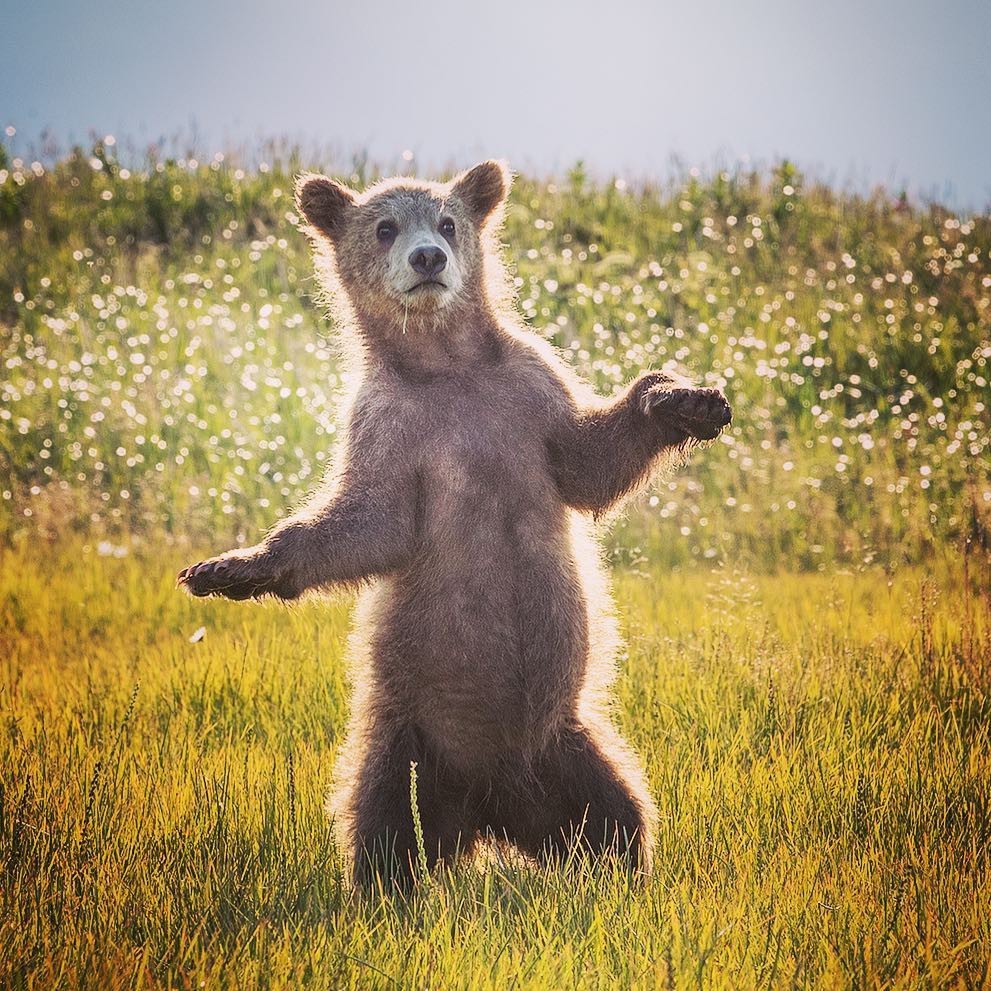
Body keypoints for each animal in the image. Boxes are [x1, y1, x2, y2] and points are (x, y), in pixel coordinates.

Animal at [178, 163, 728, 892]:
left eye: (446, 221)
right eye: (385, 226)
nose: (428, 258)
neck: (447, 367)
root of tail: (490, 810)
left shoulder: (528, 392)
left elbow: (589, 462)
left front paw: (683, 399)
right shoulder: (387, 425)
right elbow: (366, 521)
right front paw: (234, 564)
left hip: (566, 741)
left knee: (617, 813)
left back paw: (621, 876)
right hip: (408, 734)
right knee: (382, 823)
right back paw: (385, 891)